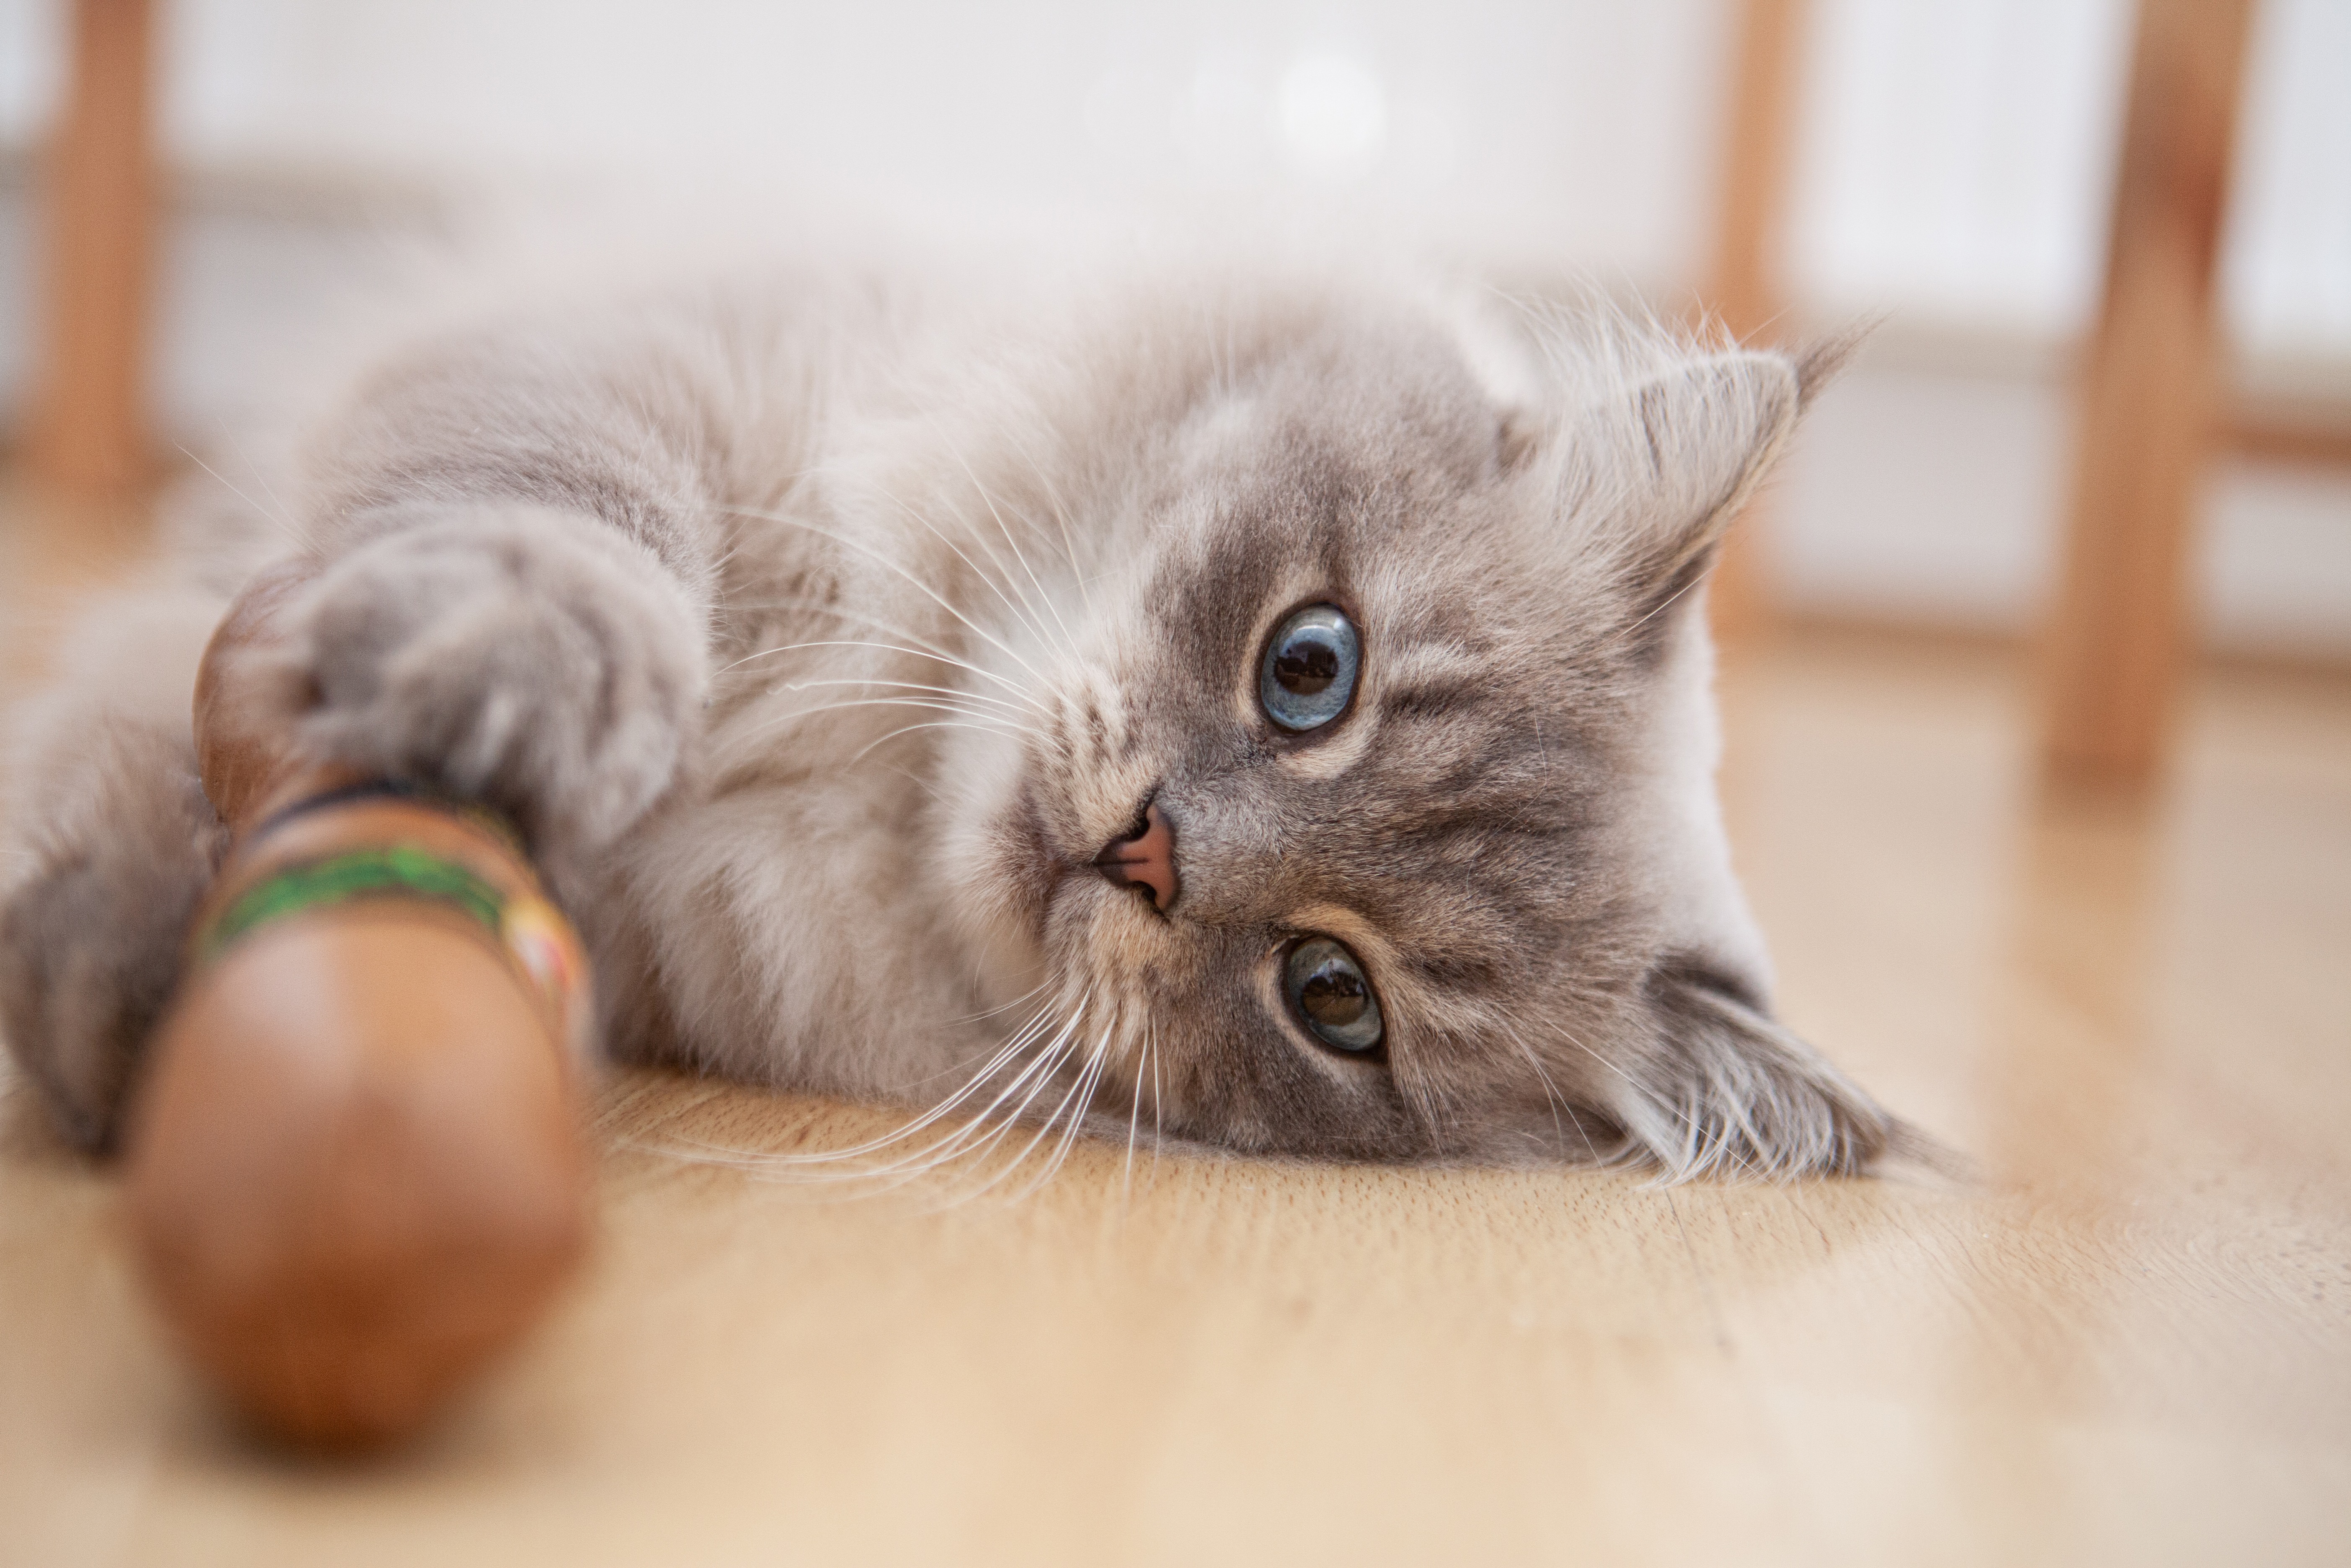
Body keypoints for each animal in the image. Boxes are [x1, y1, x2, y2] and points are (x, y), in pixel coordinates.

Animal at [0, 248, 1899, 1175]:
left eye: (1332, 999)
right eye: (1311, 668)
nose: (1147, 853)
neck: (861, 779)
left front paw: (167, 1004)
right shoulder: (648, 379)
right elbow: (571, 527)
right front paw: (516, 674)